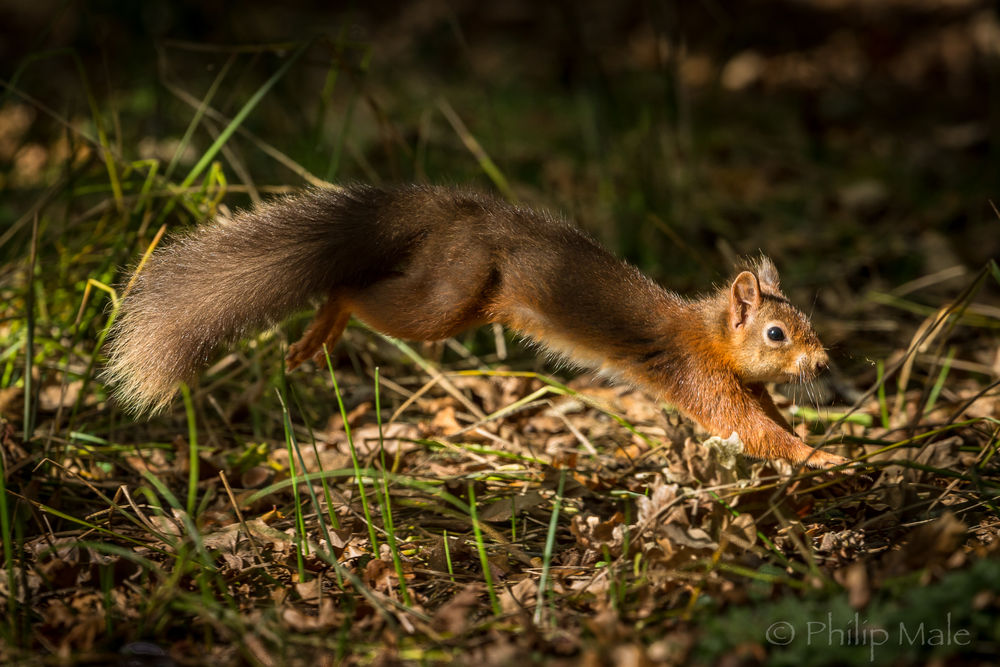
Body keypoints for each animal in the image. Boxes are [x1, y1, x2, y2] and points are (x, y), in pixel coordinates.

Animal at [104, 184, 848, 468]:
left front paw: (825, 441)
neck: (714, 336)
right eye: (777, 334)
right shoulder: (699, 377)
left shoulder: (748, 386)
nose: (823, 365)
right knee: (351, 287)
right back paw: (324, 326)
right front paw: (825, 458)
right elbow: (752, 432)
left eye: (807, 322)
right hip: (444, 298)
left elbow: (767, 419)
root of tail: (453, 213)